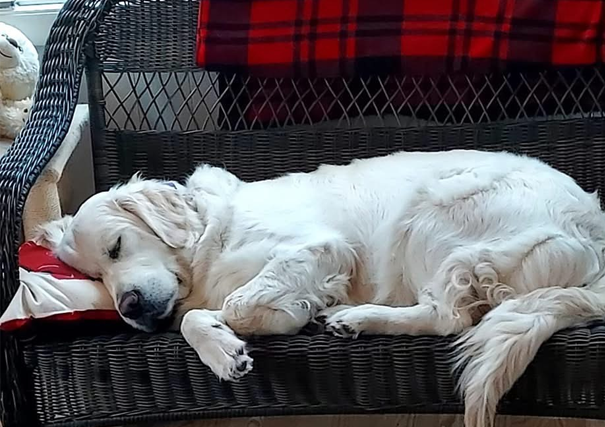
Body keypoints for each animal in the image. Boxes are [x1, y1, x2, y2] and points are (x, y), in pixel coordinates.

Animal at [35, 149, 605, 427]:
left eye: (115, 247)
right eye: (92, 278)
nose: (129, 306)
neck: (212, 235)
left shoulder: (321, 247)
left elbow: (238, 300)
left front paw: (277, 317)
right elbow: (195, 317)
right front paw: (223, 351)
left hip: (435, 212)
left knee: (452, 316)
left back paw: (356, 317)